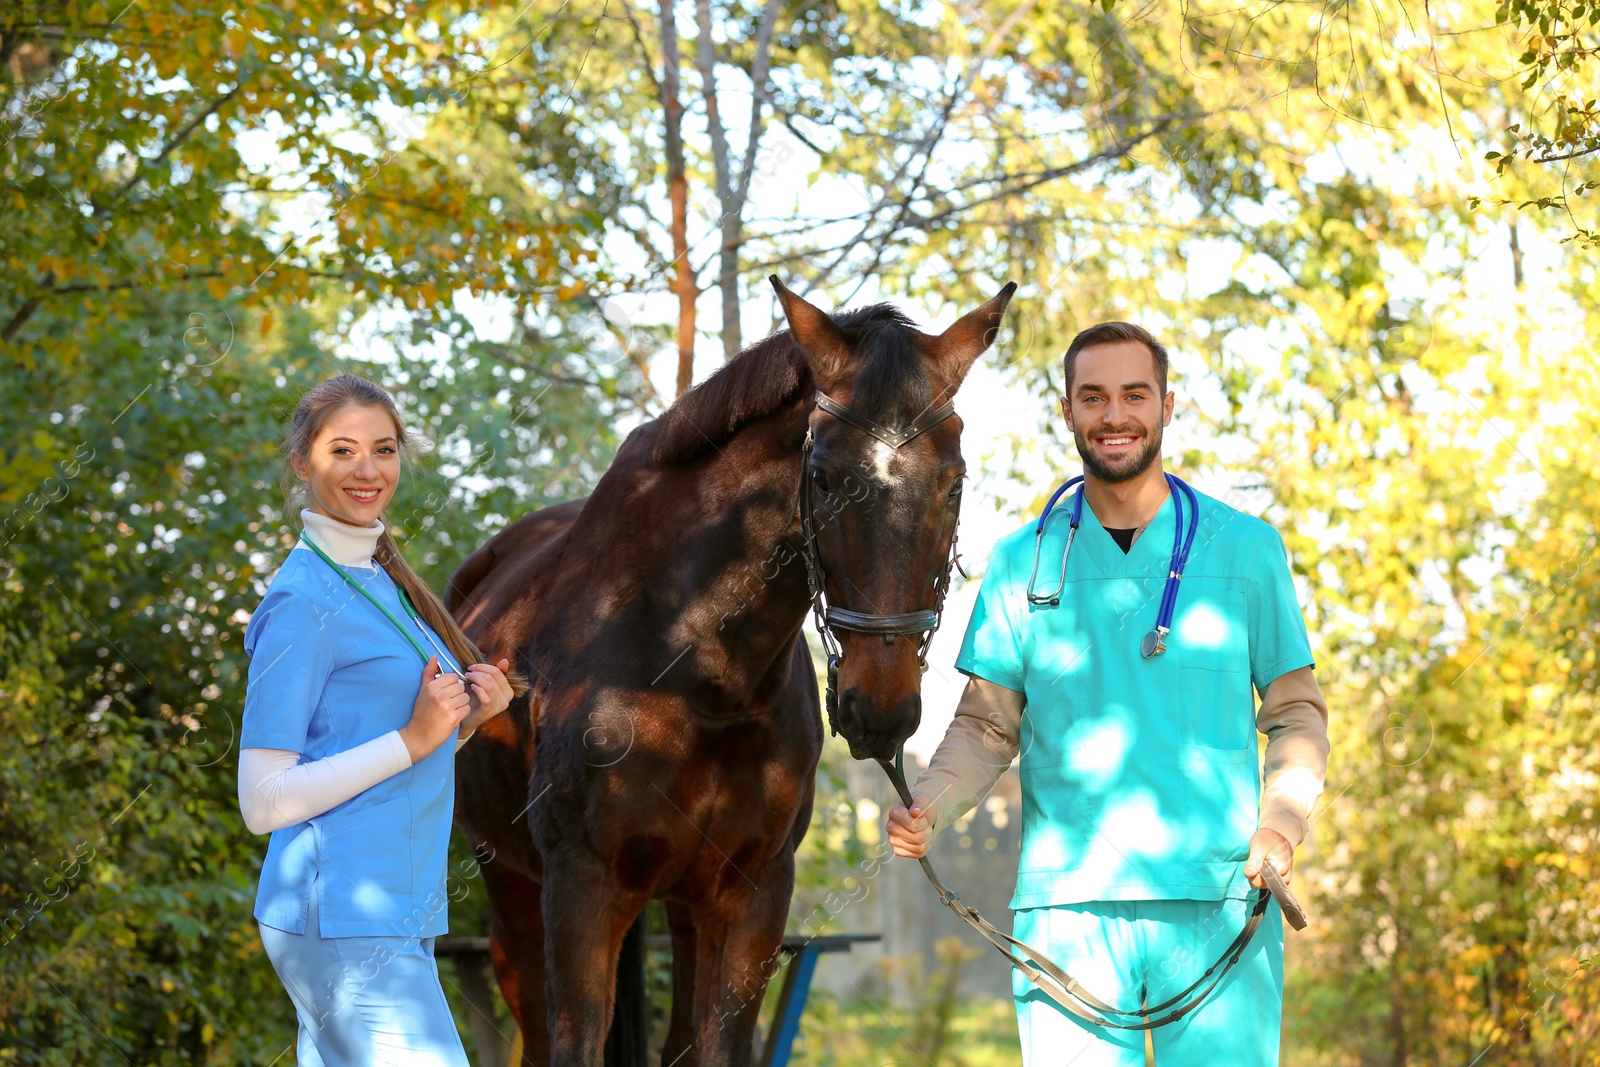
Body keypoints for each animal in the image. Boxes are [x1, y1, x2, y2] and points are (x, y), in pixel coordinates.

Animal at [441, 278, 1011, 1067]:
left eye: (954, 485)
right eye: (823, 478)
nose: (881, 709)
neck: (695, 666)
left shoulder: (752, 894)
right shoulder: (579, 889)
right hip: (509, 885)